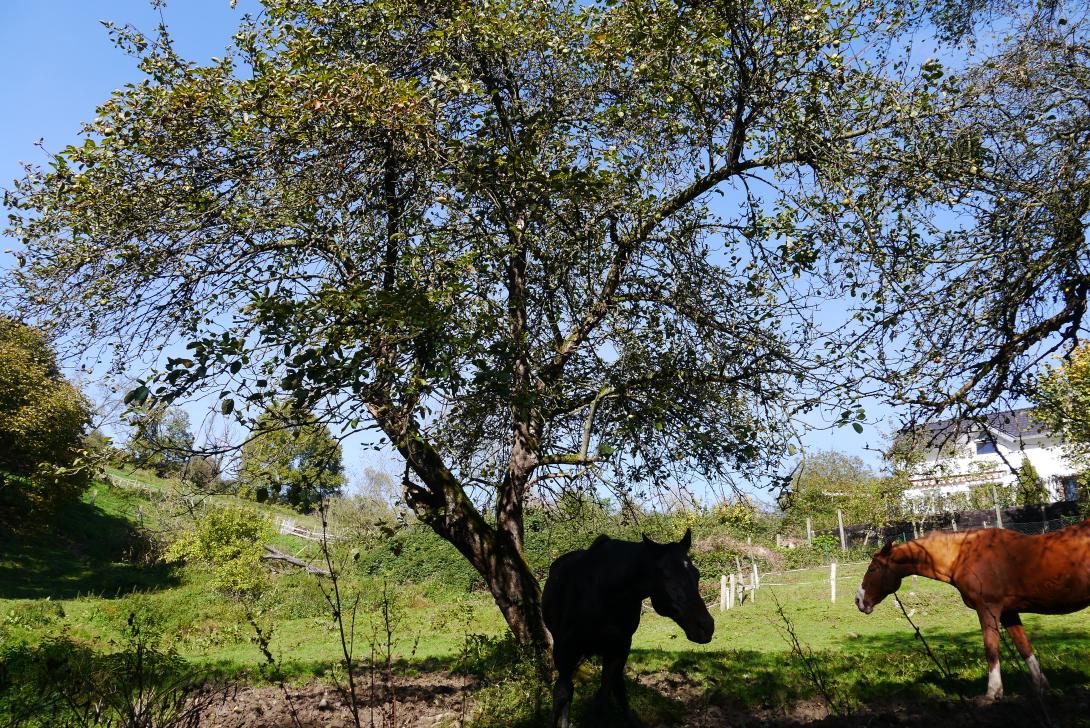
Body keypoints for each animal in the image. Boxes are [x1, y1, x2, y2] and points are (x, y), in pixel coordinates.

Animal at [542, 529, 715, 728]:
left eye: (696, 573)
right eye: (666, 575)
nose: (706, 626)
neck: (604, 591)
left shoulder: (619, 648)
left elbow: (603, 699)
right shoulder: (565, 649)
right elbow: (562, 693)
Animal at [854, 516, 1090, 697]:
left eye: (873, 569)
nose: (858, 600)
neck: (962, 555)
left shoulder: (988, 609)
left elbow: (991, 650)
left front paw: (993, 693)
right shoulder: (1009, 613)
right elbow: (1024, 647)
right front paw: (1042, 688)